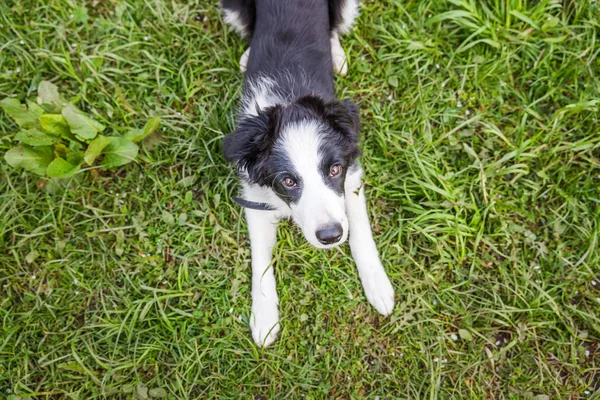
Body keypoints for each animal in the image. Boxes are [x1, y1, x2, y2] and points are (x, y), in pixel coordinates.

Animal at [220, 0, 394, 346]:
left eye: (334, 169)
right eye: (288, 181)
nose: (330, 237)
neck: (288, 103)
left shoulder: (351, 174)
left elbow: (361, 230)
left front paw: (378, 285)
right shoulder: (254, 196)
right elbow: (260, 261)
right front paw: (264, 318)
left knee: (335, 26)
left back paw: (337, 56)